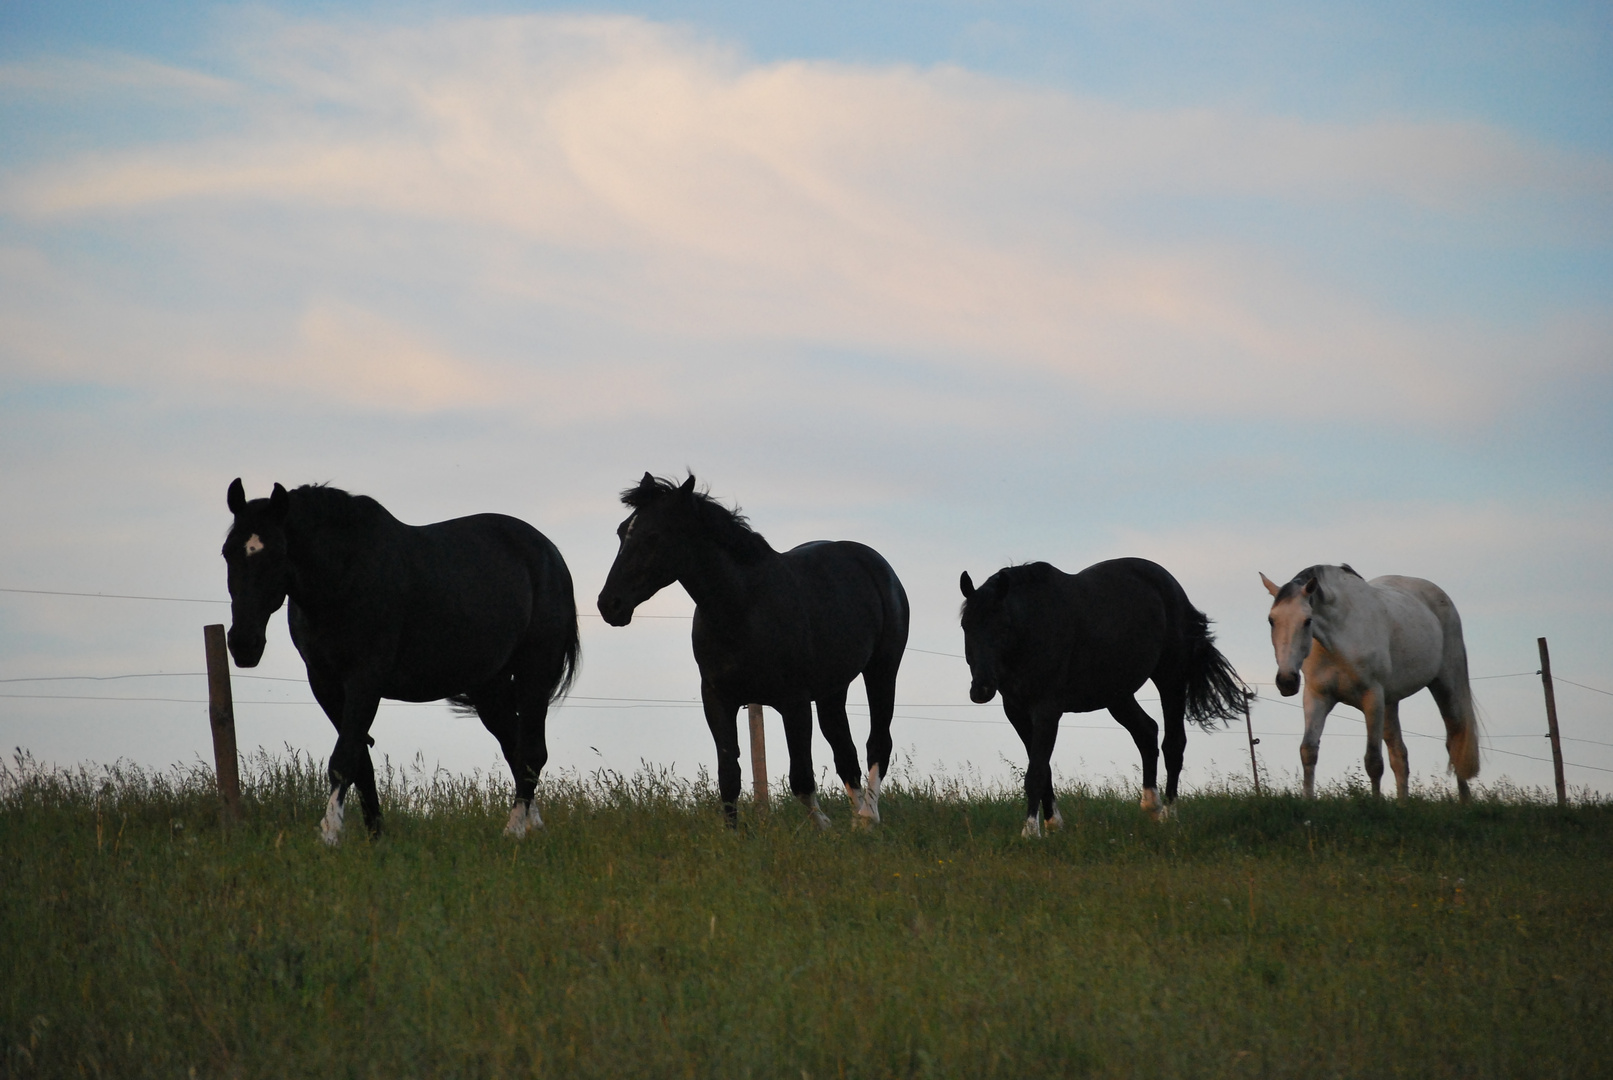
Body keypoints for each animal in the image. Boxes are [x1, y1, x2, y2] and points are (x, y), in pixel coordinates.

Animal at [220, 483, 580, 844]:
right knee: (515, 749)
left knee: (532, 751)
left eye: (277, 553)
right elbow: (360, 761)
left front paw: (331, 833)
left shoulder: (365, 679)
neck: (345, 576)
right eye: (227, 552)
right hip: (489, 687)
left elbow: (344, 756)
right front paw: (375, 836)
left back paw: (514, 830)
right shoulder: (324, 683)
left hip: (535, 671)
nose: (243, 644)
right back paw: (533, 826)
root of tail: (550, 554)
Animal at [596, 473, 909, 831]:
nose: (609, 604)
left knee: (877, 742)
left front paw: (824, 829)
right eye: (622, 531)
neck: (744, 607)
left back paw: (868, 817)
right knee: (844, 750)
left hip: (882, 669)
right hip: (833, 689)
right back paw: (858, 822)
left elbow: (801, 779)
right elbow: (729, 777)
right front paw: (734, 837)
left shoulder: (794, 702)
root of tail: (872, 561)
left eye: (653, 536)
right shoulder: (718, 699)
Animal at [954, 557, 1245, 838]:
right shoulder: (1017, 712)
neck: (1035, 628)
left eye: (1003, 626)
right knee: (1146, 731)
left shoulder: (1047, 709)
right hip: (1117, 695)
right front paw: (1053, 824)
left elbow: (1035, 771)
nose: (981, 689)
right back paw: (1151, 806)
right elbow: (1043, 767)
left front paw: (1030, 832)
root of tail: (1173, 588)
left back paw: (1169, 817)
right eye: (965, 625)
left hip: (1170, 679)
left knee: (1173, 744)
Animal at [1264, 567, 1477, 802]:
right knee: (1399, 755)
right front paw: (1308, 800)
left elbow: (1373, 761)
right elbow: (1309, 751)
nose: (1286, 680)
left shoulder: (1372, 697)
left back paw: (1464, 801)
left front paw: (1375, 804)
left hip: (1445, 686)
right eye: (1272, 620)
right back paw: (1403, 804)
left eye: (1307, 620)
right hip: (1390, 704)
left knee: (1455, 741)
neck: (1339, 637)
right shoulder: (1316, 697)